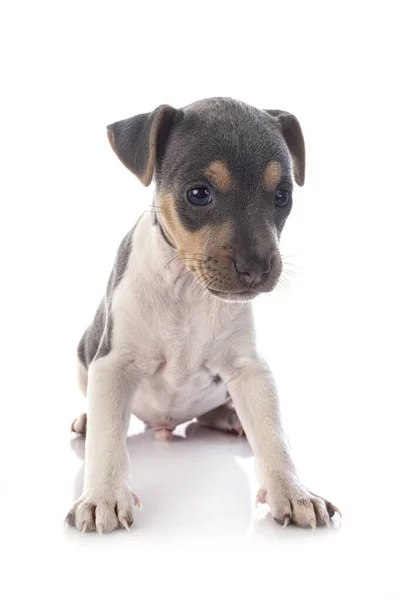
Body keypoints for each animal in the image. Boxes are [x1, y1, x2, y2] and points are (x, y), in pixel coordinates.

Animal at [66, 98, 340, 536]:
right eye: (198, 194)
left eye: (282, 196)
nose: (256, 268)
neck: (188, 288)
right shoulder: (111, 365)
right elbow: (108, 441)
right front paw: (103, 498)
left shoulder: (250, 371)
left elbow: (274, 435)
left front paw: (294, 493)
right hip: (83, 356)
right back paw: (88, 420)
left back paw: (231, 418)